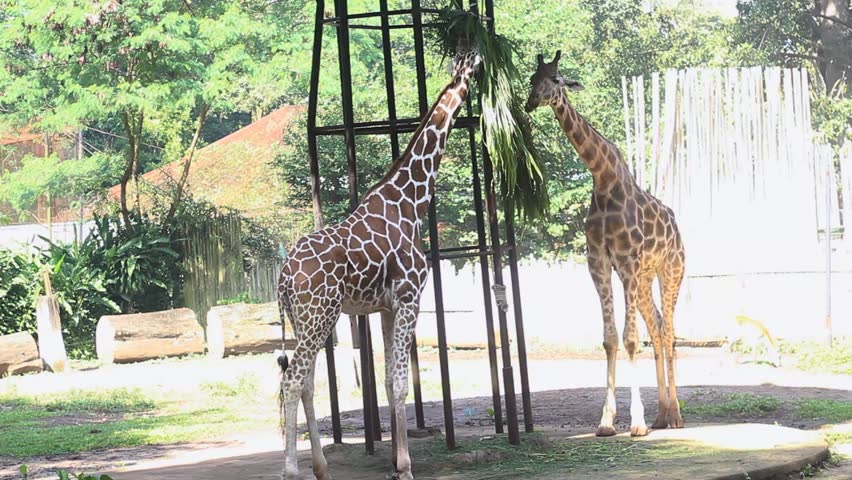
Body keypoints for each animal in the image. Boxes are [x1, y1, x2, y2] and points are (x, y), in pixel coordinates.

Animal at [276, 47, 481, 480]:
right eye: (476, 63)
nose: (479, 61)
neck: (410, 202)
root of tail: (282, 278)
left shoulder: (386, 307)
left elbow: (388, 382)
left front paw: (396, 461)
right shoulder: (409, 298)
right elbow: (403, 382)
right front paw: (405, 466)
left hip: (306, 320)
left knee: (305, 382)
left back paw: (321, 468)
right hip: (320, 316)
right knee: (292, 380)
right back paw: (291, 470)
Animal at [525, 51, 686, 437]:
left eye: (555, 79)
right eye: (531, 78)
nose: (530, 102)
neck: (602, 177)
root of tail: (676, 226)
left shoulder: (625, 261)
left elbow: (630, 339)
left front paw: (636, 423)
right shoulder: (598, 262)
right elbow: (611, 339)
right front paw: (607, 421)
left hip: (670, 270)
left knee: (670, 331)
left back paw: (675, 415)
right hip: (644, 278)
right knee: (658, 327)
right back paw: (662, 414)